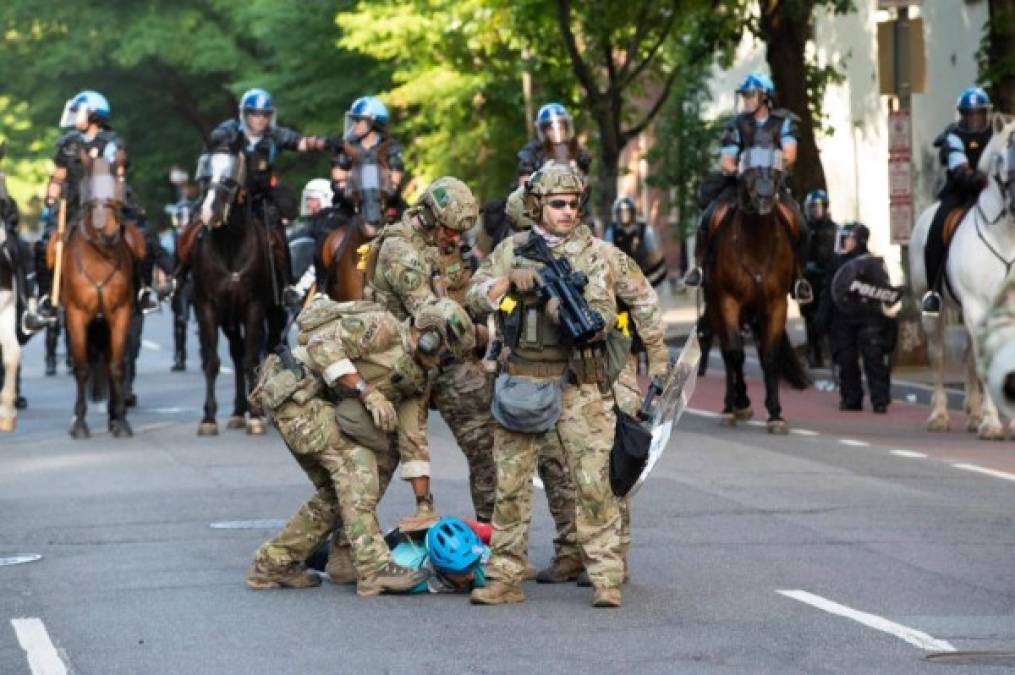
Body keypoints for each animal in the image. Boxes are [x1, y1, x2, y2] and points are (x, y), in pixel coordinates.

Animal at [48, 155, 145, 436]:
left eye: (116, 189)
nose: (110, 232)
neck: (99, 256)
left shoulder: (120, 313)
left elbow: (117, 365)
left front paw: (121, 420)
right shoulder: (77, 316)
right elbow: (82, 367)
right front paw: (79, 423)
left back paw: (114, 415)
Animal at [190, 151, 284, 436]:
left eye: (230, 180)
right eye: (205, 177)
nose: (208, 212)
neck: (230, 248)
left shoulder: (253, 308)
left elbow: (251, 359)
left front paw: (256, 417)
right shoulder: (207, 309)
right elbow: (212, 361)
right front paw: (208, 418)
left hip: (273, 313)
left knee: (267, 347)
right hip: (230, 321)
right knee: (236, 352)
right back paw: (237, 412)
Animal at [706, 146, 807, 432]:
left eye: (775, 168)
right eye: (747, 169)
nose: (764, 197)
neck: (756, 244)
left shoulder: (775, 303)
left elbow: (770, 356)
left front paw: (775, 414)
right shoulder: (728, 301)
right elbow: (735, 353)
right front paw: (740, 405)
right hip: (716, 307)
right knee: (728, 354)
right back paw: (732, 405)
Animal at [905, 115, 1015, 440]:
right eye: (1002, 156)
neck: (1006, 236)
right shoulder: (977, 307)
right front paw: (993, 423)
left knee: (967, 356)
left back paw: (973, 413)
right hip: (931, 309)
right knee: (939, 355)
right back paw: (940, 415)